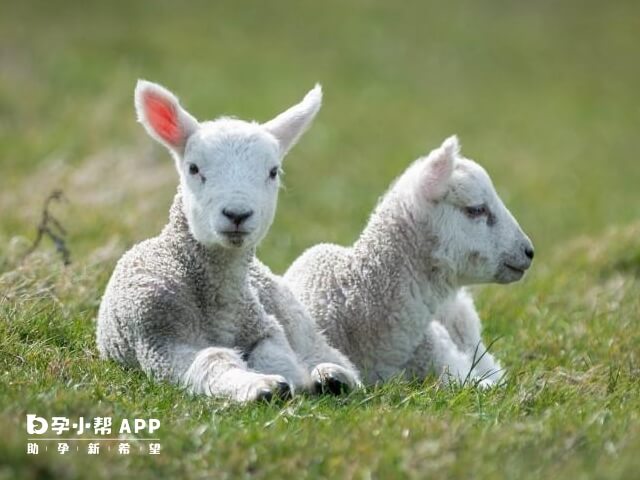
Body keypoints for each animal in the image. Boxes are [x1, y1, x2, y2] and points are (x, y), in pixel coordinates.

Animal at [98, 79, 362, 402]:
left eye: (273, 171)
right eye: (193, 168)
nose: (237, 214)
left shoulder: (264, 326)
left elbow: (275, 354)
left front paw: (297, 381)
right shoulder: (159, 339)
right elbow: (213, 359)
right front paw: (261, 386)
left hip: (291, 312)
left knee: (321, 349)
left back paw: (336, 375)